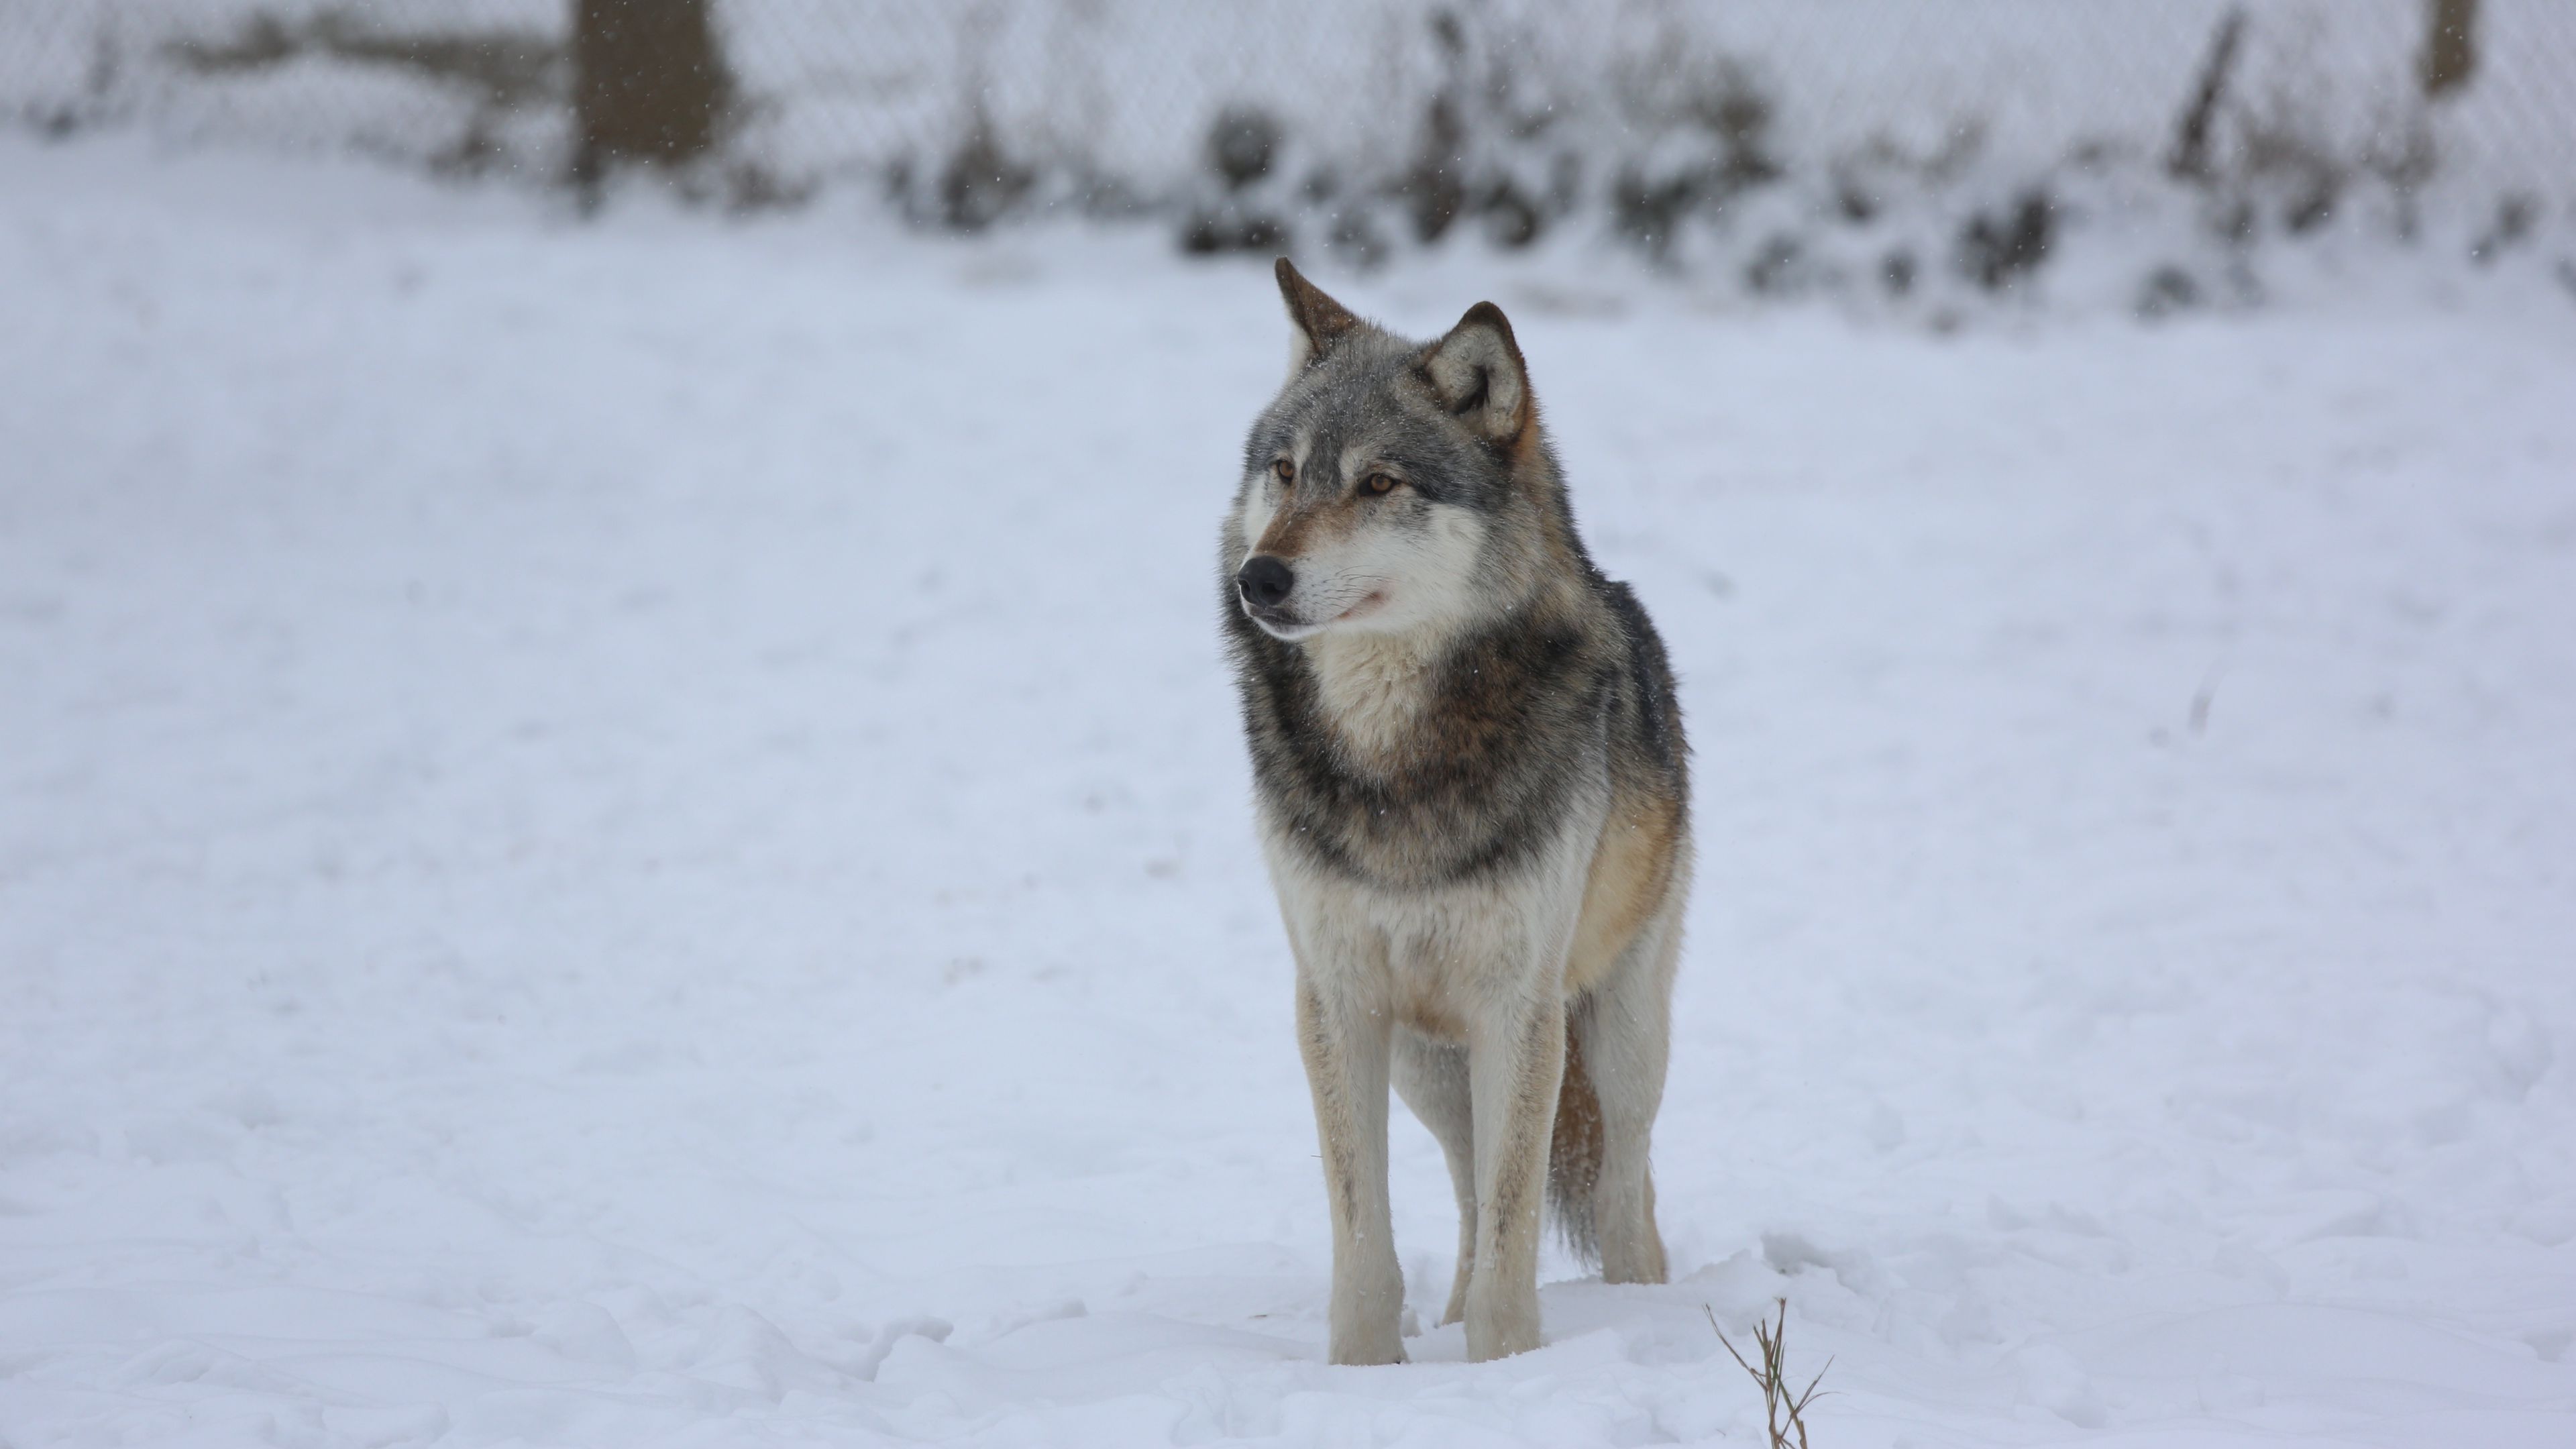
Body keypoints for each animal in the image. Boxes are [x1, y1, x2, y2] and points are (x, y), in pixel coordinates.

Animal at [1219, 259, 1692, 1364]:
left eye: (1380, 484)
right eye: (1286, 473)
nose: (1259, 577)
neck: (1395, 754)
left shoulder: (1518, 1006)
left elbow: (1520, 1225)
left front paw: (1507, 1367)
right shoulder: (1337, 1000)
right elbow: (1367, 1230)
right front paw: (1364, 1369)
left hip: (1619, 1040)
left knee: (1625, 1197)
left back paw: (1640, 1307)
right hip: (1427, 1067)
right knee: (1473, 1202)